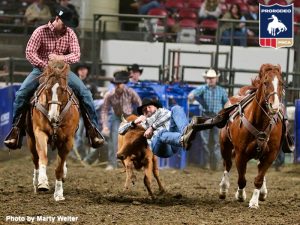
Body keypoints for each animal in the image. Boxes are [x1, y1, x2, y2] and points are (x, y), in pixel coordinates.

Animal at [26, 59, 79, 200]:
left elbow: (59, 168)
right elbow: (43, 157)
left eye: (63, 89)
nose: (53, 116)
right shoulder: (40, 133)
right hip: (30, 139)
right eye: (47, 89)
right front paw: (43, 182)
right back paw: (35, 183)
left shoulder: (68, 140)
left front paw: (59, 193)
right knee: (35, 159)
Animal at [218, 64, 284, 208]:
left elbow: (259, 178)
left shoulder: (271, 155)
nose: (275, 106)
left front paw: (254, 201)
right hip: (225, 145)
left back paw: (263, 192)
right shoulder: (240, 154)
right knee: (227, 164)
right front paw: (240, 195)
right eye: (265, 82)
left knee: (259, 169)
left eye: (282, 83)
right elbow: (241, 179)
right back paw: (223, 189)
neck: (260, 124)